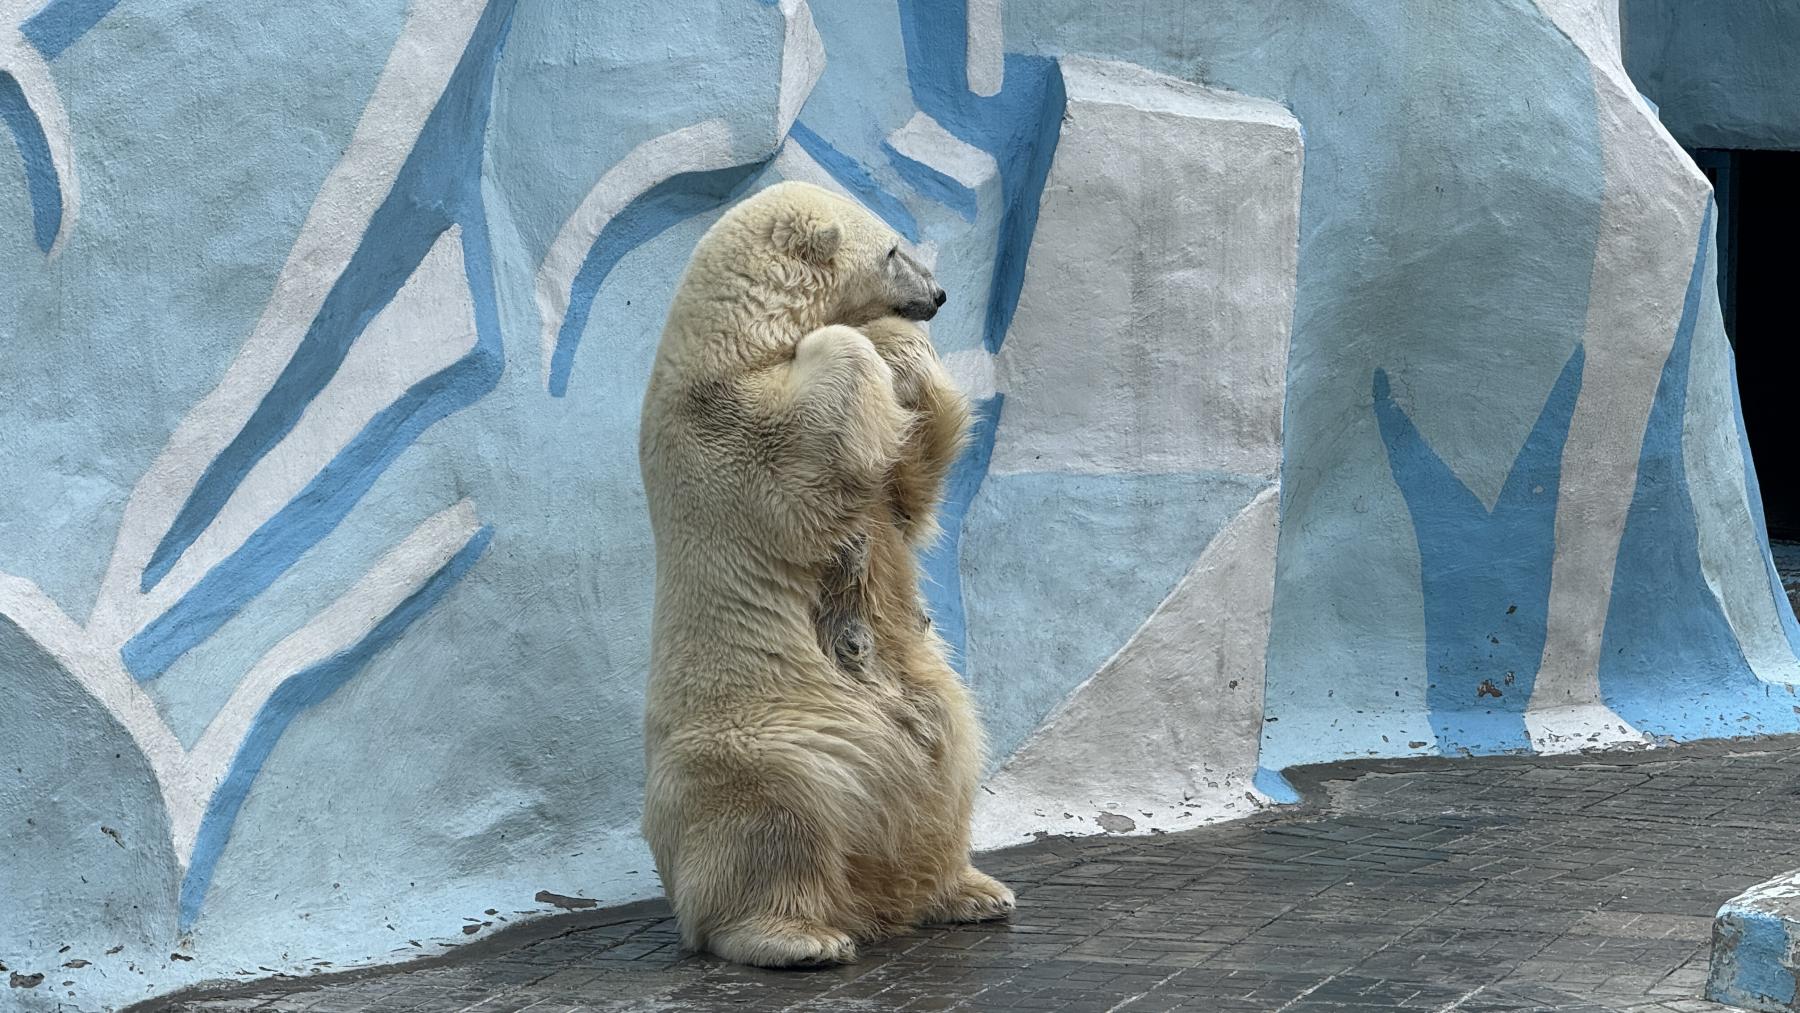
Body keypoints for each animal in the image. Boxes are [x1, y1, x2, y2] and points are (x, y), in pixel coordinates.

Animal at [640, 182, 1022, 964]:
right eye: (892, 248)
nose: (939, 295)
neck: (736, 341)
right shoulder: (727, 432)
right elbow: (813, 457)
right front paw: (864, 341)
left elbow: (909, 487)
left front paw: (904, 351)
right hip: (760, 741)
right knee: (776, 820)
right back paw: (797, 936)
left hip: (932, 702)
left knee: (949, 767)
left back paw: (967, 891)